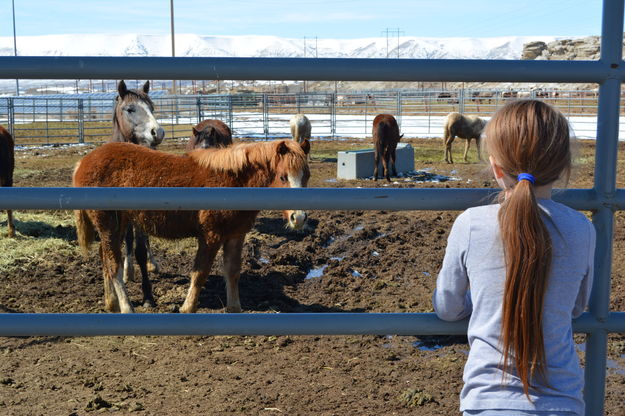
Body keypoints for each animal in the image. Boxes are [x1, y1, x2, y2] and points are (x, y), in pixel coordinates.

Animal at [73, 138, 310, 314]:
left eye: (306, 176)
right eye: (283, 177)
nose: (298, 218)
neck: (232, 183)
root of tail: (83, 162)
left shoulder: (236, 235)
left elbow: (232, 271)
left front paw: (234, 308)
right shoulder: (211, 236)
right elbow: (200, 272)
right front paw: (187, 307)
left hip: (118, 225)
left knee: (105, 259)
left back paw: (111, 304)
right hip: (108, 225)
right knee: (113, 265)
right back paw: (126, 307)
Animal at [111, 79, 166, 288]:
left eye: (151, 108)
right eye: (130, 109)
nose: (157, 132)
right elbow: (128, 237)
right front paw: (128, 270)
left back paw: (153, 263)